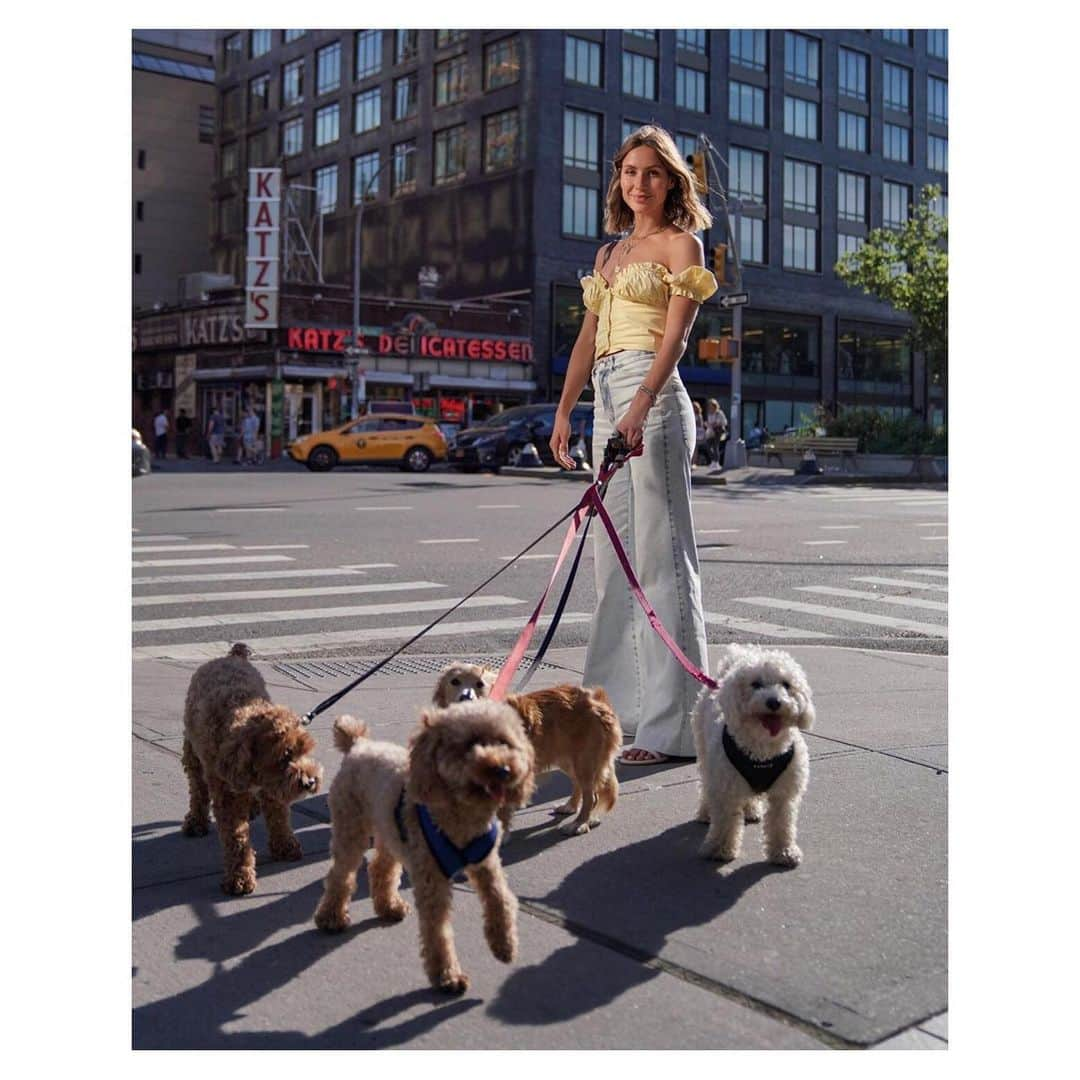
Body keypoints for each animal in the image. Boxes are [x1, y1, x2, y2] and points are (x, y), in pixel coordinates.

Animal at [181, 639, 321, 894]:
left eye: (305, 750)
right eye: (285, 756)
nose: (310, 781)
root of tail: (232, 656)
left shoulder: (273, 789)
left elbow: (279, 817)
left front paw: (285, 845)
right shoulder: (228, 795)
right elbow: (236, 838)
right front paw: (239, 876)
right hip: (192, 754)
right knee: (197, 789)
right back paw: (196, 821)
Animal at [313, 699, 535, 993]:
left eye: (504, 742)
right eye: (470, 743)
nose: (503, 770)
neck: (461, 816)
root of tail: (358, 743)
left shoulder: (486, 863)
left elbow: (501, 898)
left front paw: (504, 944)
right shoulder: (432, 879)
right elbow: (437, 929)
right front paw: (447, 975)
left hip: (390, 830)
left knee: (381, 868)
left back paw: (389, 907)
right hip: (351, 827)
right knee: (341, 874)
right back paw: (331, 917)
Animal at [427, 660, 617, 838]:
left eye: (480, 684)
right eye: (455, 681)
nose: (465, 698)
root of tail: (597, 700)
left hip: (584, 761)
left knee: (591, 795)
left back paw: (581, 823)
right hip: (567, 759)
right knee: (581, 786)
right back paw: (571, 807)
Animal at [695, 643, 812, 864]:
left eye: (786, 685)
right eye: (755, 684)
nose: (774, 702)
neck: (762, 750)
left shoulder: (784, 793)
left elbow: (782, 823)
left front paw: (784, 851)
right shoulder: (725, 786)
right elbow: (724, 821)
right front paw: (720, 849)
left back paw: (750, 810)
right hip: (706, 755)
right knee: (706, 784)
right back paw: (706, 813)